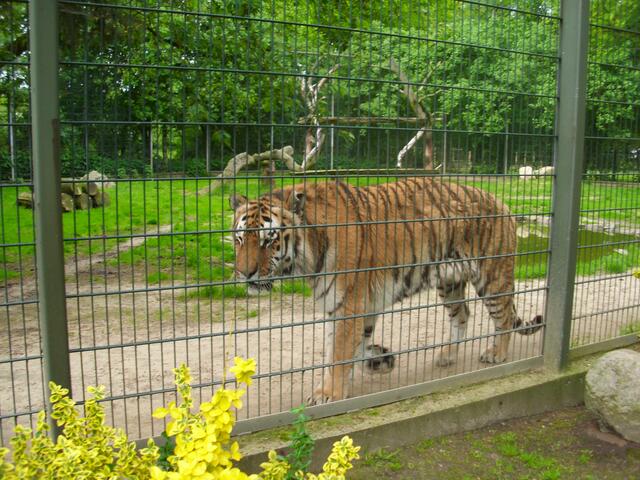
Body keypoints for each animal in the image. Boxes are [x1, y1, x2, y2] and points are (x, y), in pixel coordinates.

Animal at [229, 177, 543, 404]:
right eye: (239, 239)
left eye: (268, 241)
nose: (245, 274)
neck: (307, 253)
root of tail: (502, 202)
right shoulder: (348, 305)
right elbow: (346, 349)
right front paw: (378, 361)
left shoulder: (350, 304)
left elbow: (339, 353)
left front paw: (329, 394)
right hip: (450, 283)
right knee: (463, 314)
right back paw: (447, 355)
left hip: (492, 277)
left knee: (504, 317)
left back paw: (496, 354)